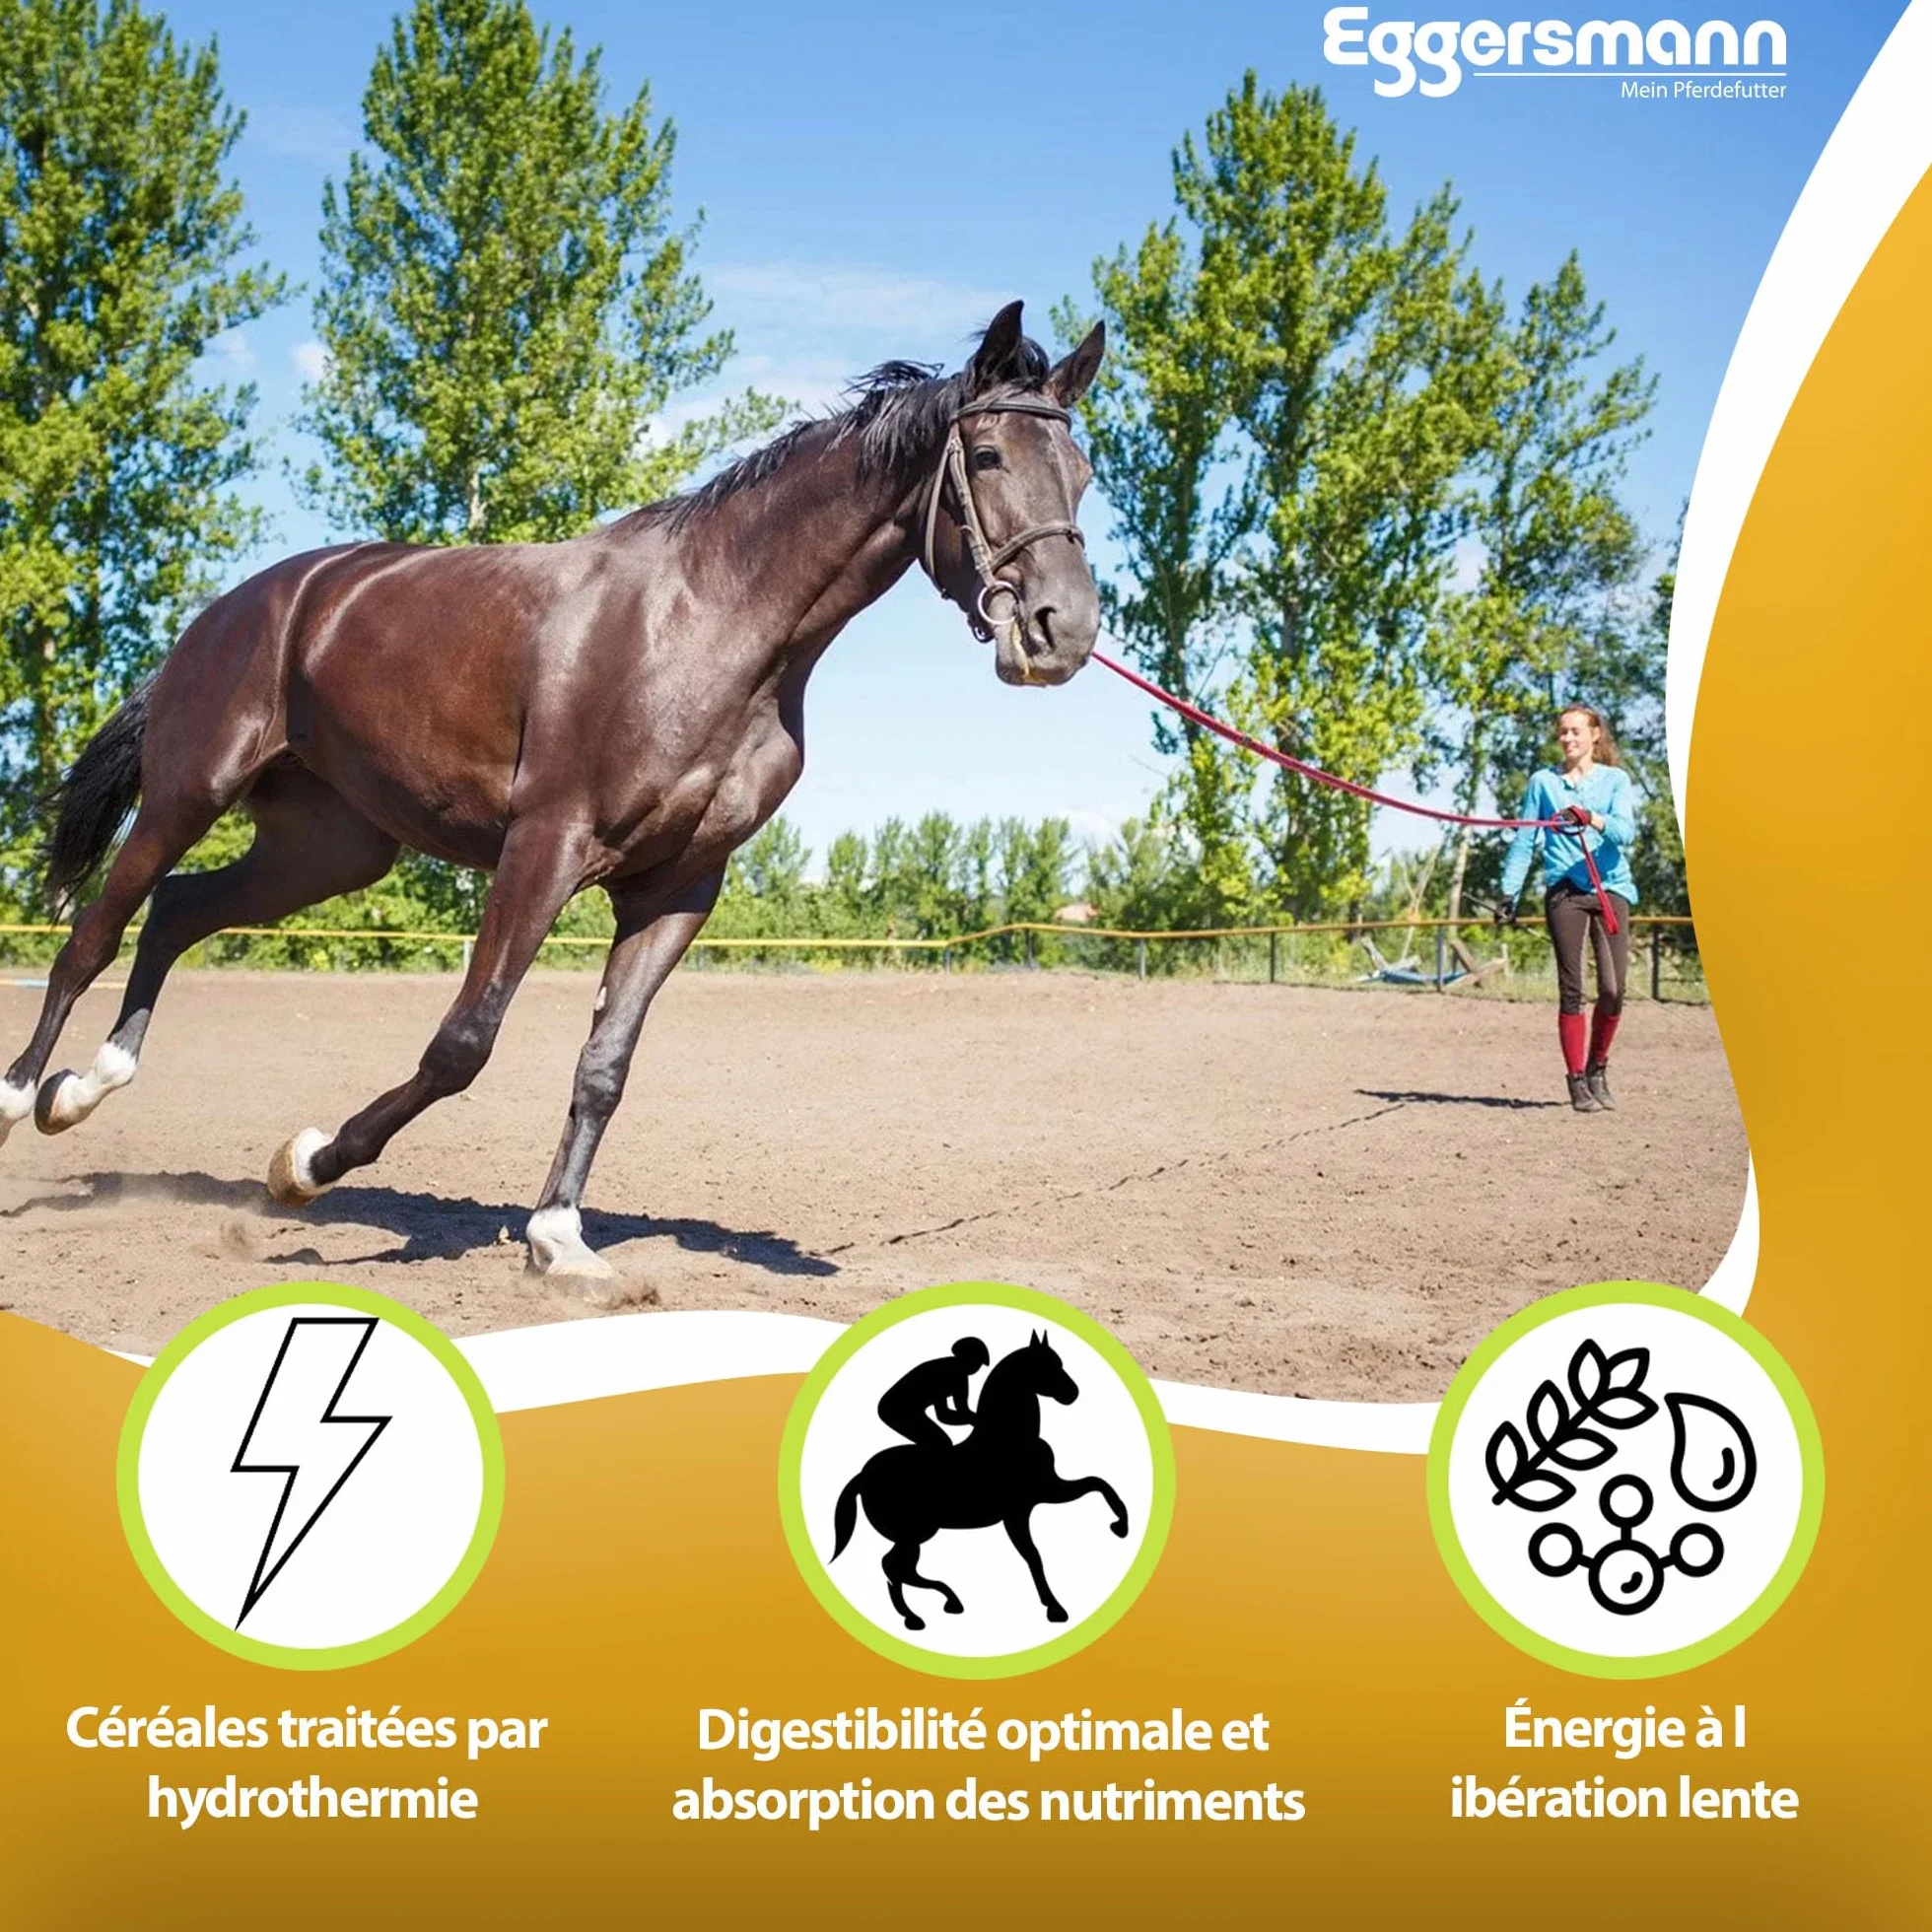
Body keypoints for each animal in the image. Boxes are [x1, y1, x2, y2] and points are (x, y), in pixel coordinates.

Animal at [0, 302, 1105, 1284]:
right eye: (990, 456)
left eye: (1085, 471)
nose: (1064, 630)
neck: (711, 622)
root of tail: (236, 607)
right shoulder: (545, 847)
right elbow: (463, 1045)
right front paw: (307, 1165)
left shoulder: (677, 887)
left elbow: (605, 1066)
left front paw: (559, 1239)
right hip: (188, 793)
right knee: (94, 933)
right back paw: (23, 1098)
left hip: (328, 848)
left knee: (176, 912)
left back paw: (82, 1091)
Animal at [828, 1330, 1130, 1631]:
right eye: (1046, 1366)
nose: (1073, 1393)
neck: (1008, 1440)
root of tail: (862, 1475)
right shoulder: (1018, 1512)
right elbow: (1034, 1555)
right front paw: (1055, 1609)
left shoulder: (1048, 1490)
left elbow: (1098, 1483)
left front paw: (1120, 1526)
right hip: (914, 1532)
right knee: (893, 1566)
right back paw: (915, 1617)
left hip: (917, 1535)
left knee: (903, 1569)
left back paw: (949, 1602)